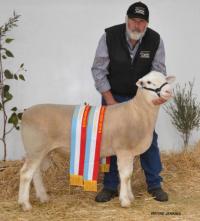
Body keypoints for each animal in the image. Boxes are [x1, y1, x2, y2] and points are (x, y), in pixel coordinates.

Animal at [18, 71, 176, 211]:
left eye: (165, 79)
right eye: (148, 82)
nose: (168, 90)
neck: (137, 112)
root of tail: (25, 113)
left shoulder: (129, 152)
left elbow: (129, 176)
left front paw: (130, 196)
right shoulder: (123, 149)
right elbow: (125, 175)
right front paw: (125, 201)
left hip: (41, 150)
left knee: (35, 173)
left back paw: (43, 197)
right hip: (35, 148)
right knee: (25, 174)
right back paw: (25, 204)